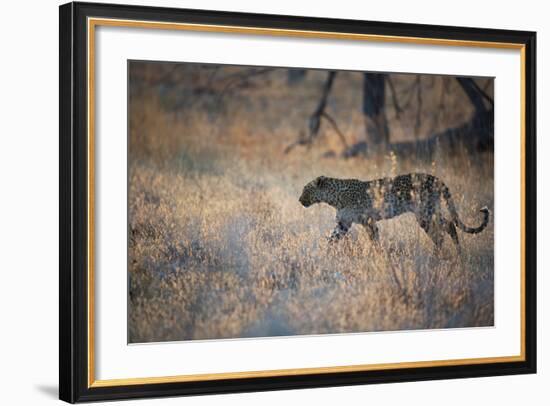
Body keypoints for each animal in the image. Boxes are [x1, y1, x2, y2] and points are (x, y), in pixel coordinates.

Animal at [302, 172, 492, 254]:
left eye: (306, 190)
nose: (299, 200)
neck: (334, 198)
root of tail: (435, 178)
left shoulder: (368, 221)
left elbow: (374, 240)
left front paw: (377, 256)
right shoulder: (343, 224)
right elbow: (331, 239)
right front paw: (324, 255)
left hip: (425, 212)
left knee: (441, 232)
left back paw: (439, 255)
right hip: (429, 211)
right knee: (448, 226)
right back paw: (454, 254)